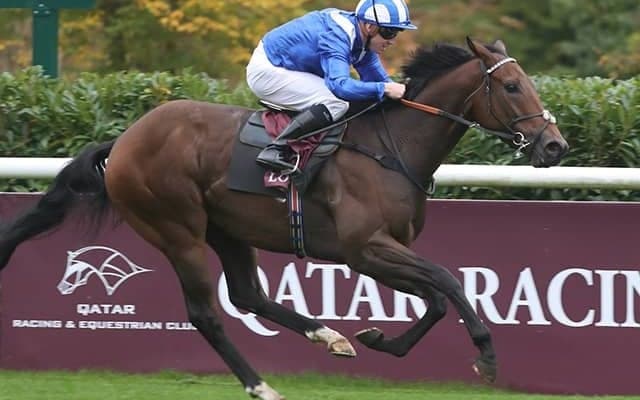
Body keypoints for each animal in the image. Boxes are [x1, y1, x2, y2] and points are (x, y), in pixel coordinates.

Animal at [0, 38, 568, 400]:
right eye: (512, 86)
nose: (555, 146)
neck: (392, 147)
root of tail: (123, 142)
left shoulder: (380, 252)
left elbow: (435, 298)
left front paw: (378, 340)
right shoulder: (366, 248)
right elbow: (448, 281)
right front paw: (486, 356)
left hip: (228, 230)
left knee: (248, 294)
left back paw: (328, 337)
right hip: (176, 229)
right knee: (207, 313)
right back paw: (261, 385)